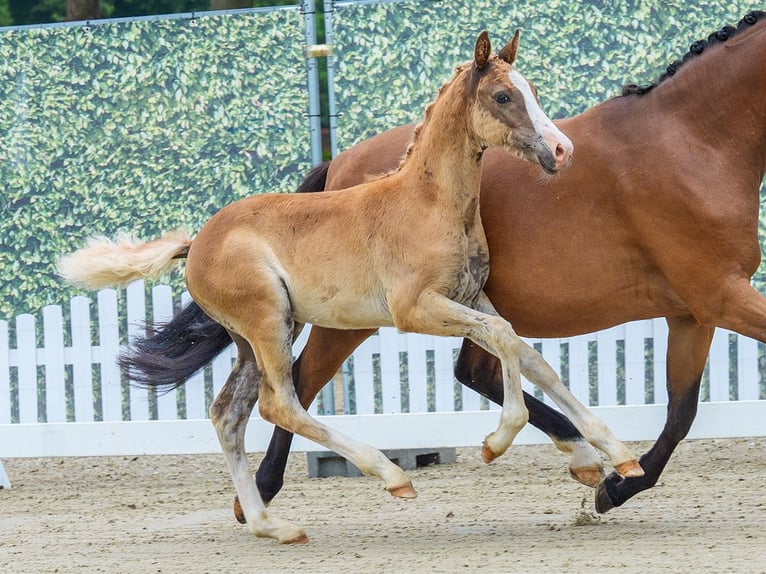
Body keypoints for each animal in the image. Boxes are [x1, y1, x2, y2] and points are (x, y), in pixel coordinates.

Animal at [59, 31, 643, 543]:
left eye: (533, 90)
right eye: (503, 96)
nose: (562, 151)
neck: (429, 204)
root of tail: (197, 242)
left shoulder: (471, 297)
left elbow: (529, 354)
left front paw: (618, 455)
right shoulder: (416, 309)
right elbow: (505, 341)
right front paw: (497, 442)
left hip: (259, 335)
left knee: (228, 415)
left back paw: (273, 526)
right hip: (268, 322)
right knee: (279, 404)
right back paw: (390, 475)